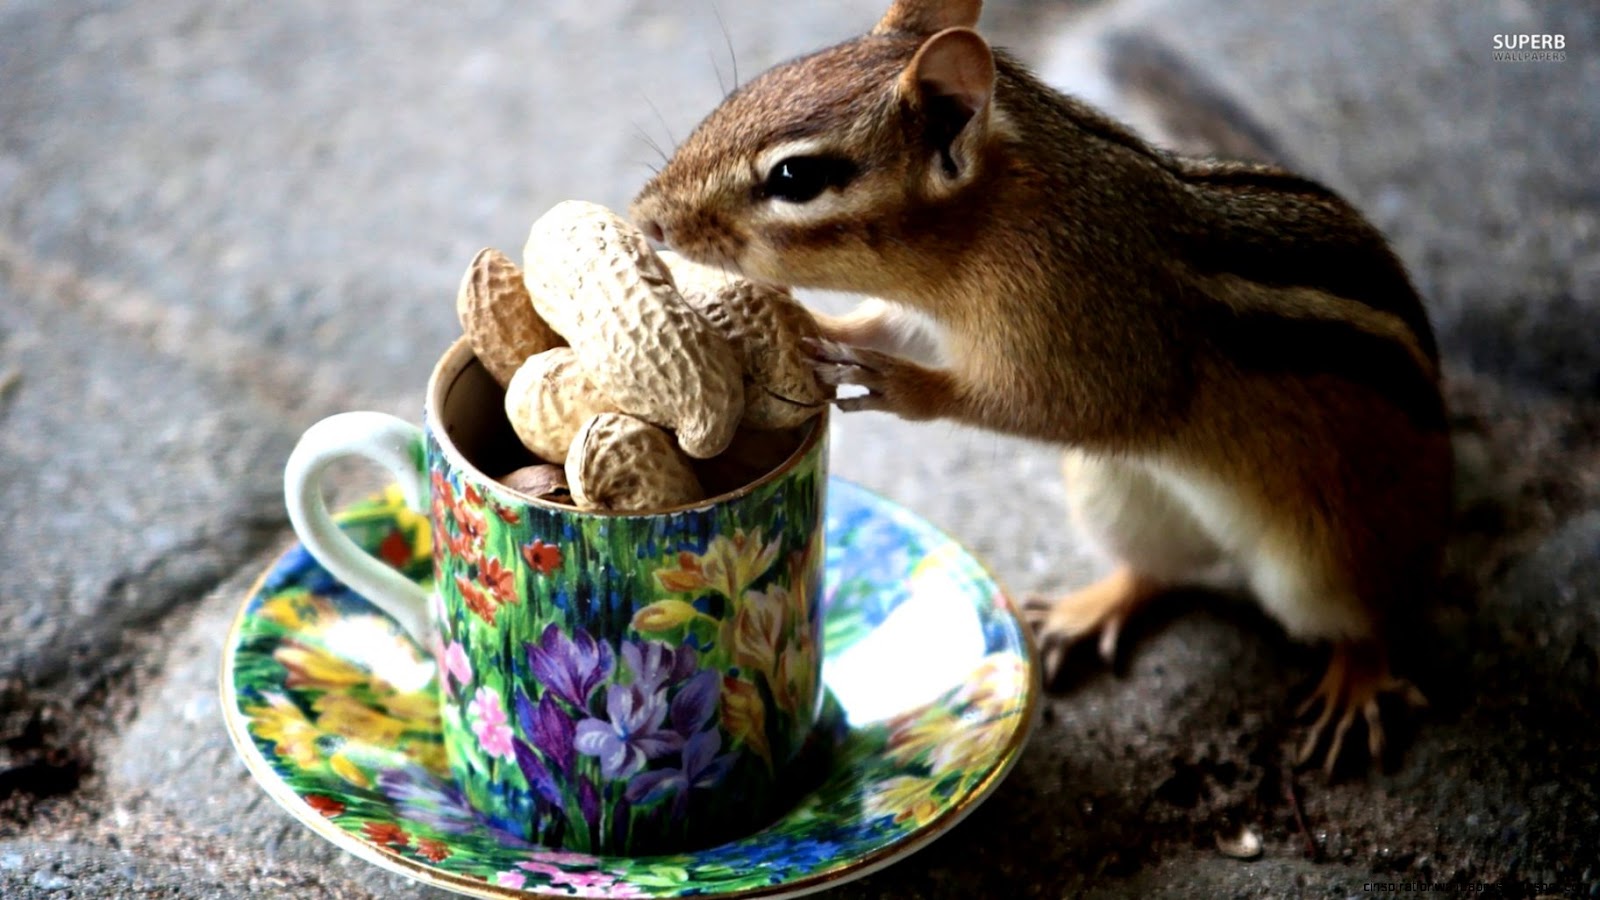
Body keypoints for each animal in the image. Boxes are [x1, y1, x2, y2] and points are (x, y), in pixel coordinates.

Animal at [630, 0, 1452, 776]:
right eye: (742, 92)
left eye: (794, 178)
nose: (646, 218)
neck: (996, 222)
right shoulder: (940, 322)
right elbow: (886, 325)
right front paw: (804, 322)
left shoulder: (1095, 352)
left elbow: (1028, 403)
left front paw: (892, 383)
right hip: (1117, 498)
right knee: (1156, 571)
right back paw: (1086, 610)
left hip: (1327, 559)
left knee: (1370, 619)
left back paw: (1356, 683)